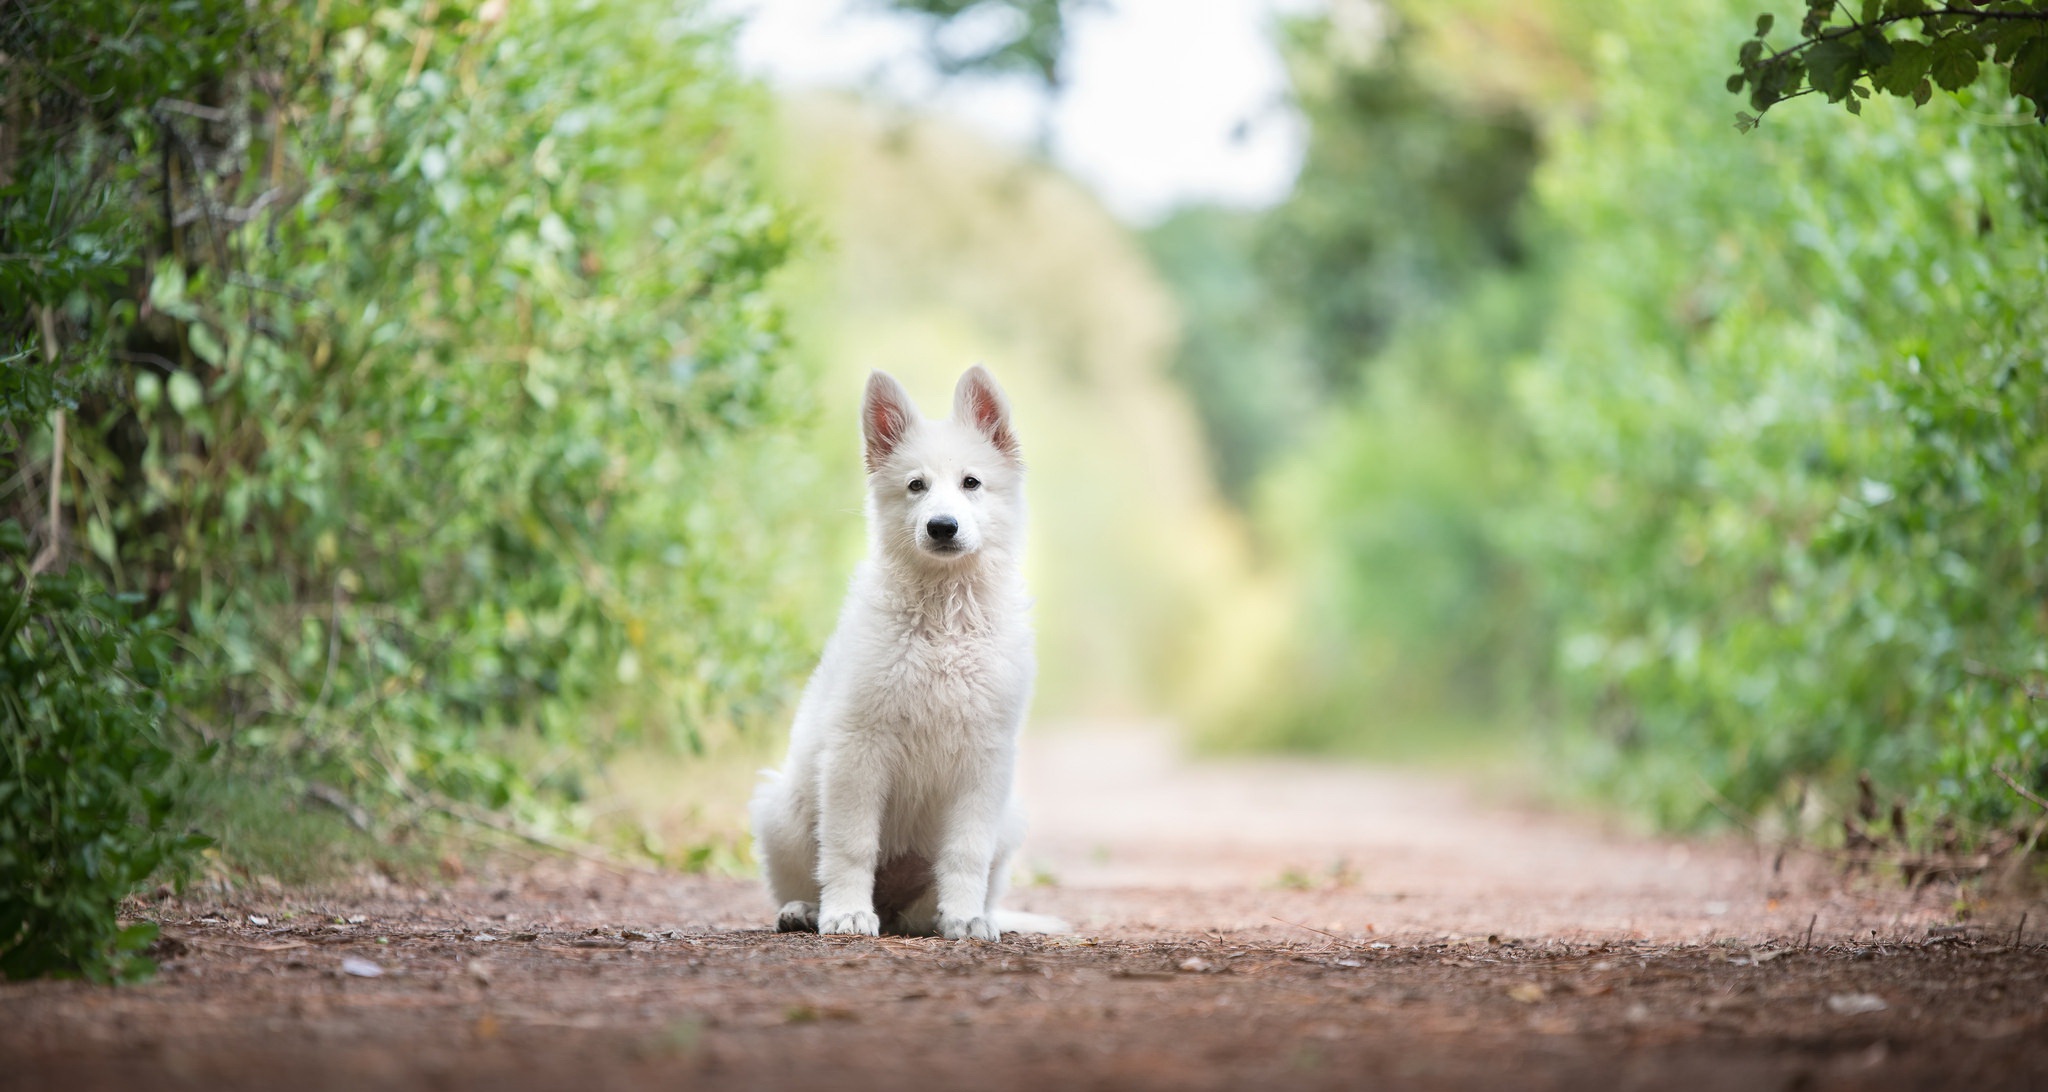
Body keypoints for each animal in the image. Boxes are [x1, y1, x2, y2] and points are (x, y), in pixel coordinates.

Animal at [757, 364, 1064, 938]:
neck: (944, 617)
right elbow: (850, 845)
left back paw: (948, 917)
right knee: (806, 873)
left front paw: (966, 918)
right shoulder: (858, 747)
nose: (942, 526)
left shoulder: (984, 757)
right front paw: (847, 913)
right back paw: (807, 910)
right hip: (780, 808)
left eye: (971, 483)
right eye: (915, 486)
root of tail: (895, 907)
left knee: (935, 898)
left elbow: (966, 852)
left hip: (1010, 818)